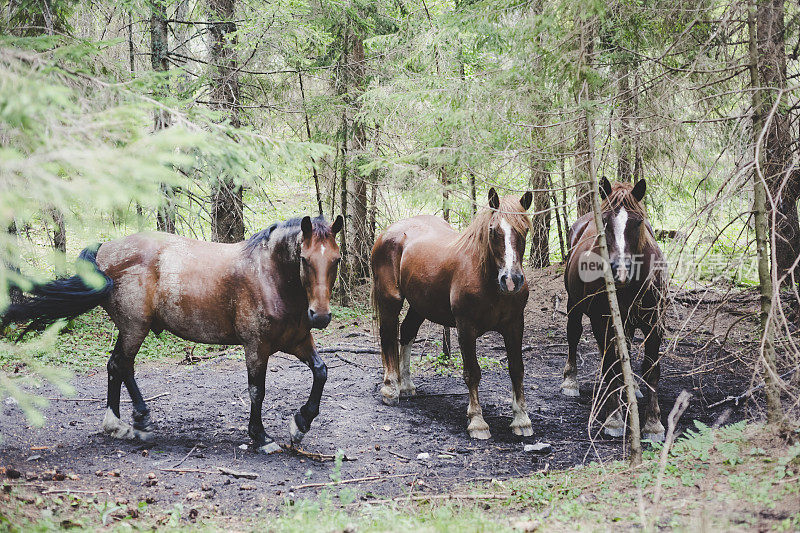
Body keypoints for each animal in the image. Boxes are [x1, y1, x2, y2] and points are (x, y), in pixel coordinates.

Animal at [1, 216, 342, 454]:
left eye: (336, 259)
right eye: (304, 259)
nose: (321, 316)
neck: (269, 277)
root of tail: (105, 250)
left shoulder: (298, 341)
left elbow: (322, 371)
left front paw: (301, 423)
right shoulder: (256, 347)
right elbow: (257, 390)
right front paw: (261, 437)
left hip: (131, 329)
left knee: (119, 366)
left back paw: (130, 420)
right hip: (134, 327)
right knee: (120, 365)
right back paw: (125, 423)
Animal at [372, 189, 536, 438]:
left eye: (524, 229)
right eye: (493, 231)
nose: (511, 280)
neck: (486, 279)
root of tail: (386, 233)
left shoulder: (515, 325)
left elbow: (517, 369)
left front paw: (521, 419)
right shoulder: (465, 327)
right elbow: (472, 372)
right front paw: (477, 421)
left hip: (420, 304)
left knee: (407, 332)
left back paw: (406, 385)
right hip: (390, 300)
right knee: (388, 336)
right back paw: (391, 388)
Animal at [564, 179, 668, 440]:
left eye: (638, 222)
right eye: (605, 221)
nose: (620, 269)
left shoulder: (654, 323)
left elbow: (651, 369)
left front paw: (653, 423)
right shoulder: (603, 321)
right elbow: (611, 365)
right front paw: (613, 418)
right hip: (574, 306)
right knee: (574, 335)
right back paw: (570, 381)